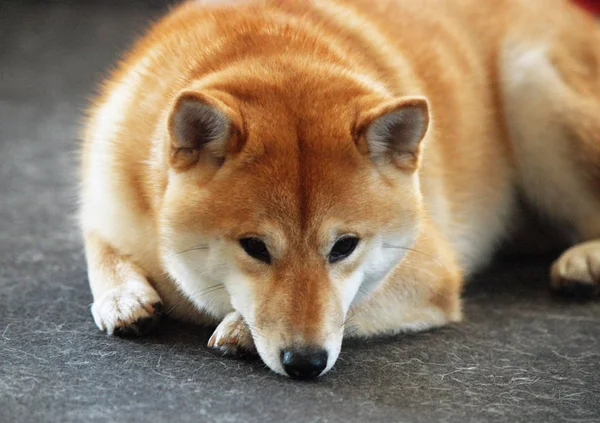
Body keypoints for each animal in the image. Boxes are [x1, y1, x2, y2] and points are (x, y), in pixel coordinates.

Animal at [81, 0, 600, 380]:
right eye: (254, 247)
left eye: (344, 247)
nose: (305, 363)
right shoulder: (106, 195)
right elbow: (98, 248)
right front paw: (122, 296)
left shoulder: (430, 271)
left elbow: (356, 303)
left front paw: (241, 331)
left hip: (532, 85)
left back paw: (584, 260)